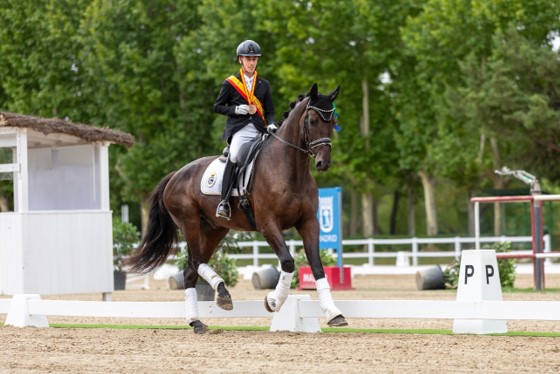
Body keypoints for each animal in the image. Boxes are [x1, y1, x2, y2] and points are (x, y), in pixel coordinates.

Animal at [126, 84, 346, 334]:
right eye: (311, 120)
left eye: (333, 121)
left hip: (214, 230)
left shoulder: (308, 222)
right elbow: (288, 261)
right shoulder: (268, 224)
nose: (323, 163)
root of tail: (176, 174)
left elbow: (317, 266)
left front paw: (334, 313)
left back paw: (197, 322)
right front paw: (273, 301)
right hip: (189, 224)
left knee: (191, 271)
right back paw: (222, 294)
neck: (291, 169)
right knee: (196, 262)